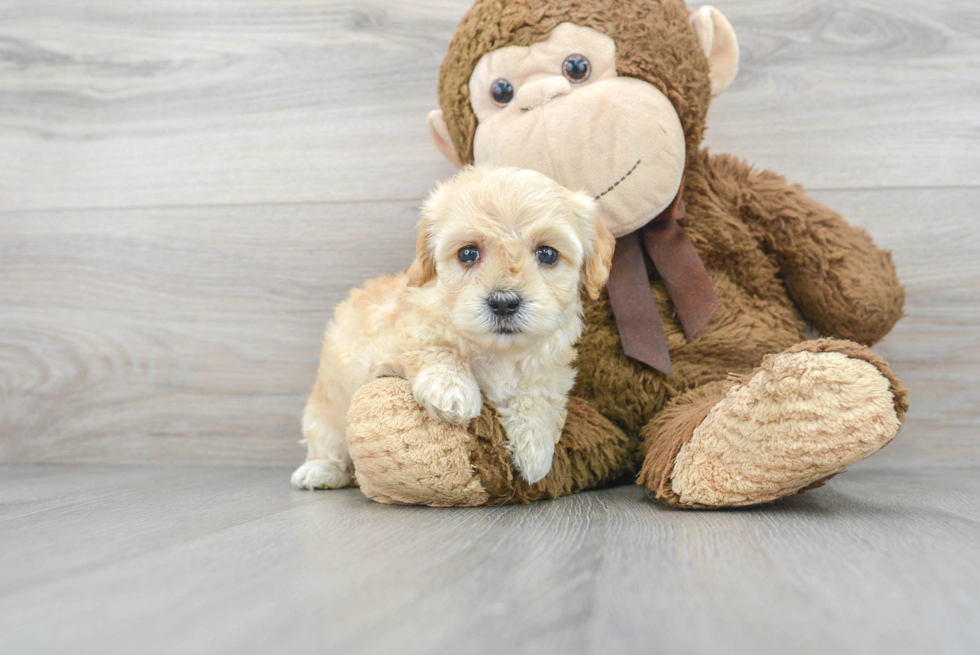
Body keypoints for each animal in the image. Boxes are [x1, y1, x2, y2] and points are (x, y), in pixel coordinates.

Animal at [290, 167, 612, 490]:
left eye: (547, 254)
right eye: (468, 253)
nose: (504, 303)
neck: (497, 351)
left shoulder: (550, 373)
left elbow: (539, 396)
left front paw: (536, 446)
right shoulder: (386, 347)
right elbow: (433, 349)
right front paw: (452, 388)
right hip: (326, 409)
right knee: (327, 441)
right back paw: (321, 470)